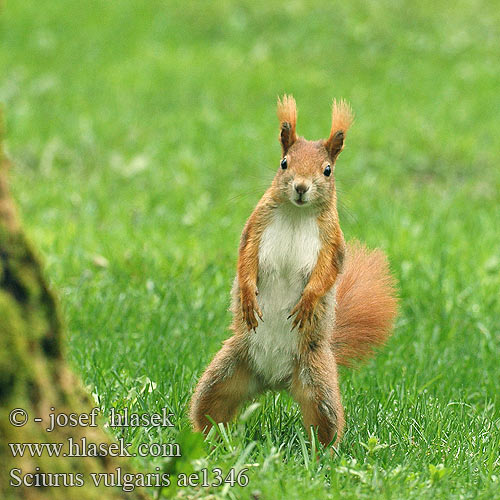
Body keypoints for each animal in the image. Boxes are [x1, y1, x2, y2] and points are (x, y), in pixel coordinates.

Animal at [189, 95, 396, 448]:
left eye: (327, 170)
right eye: (284, 163)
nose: (300, 187)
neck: (297, 213)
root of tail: (274, 380)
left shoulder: (332, 243)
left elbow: (327, 274)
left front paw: (309, 300)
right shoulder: (254, 229)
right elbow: (245, 261)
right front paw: (248, 297)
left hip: (318, 383)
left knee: (326, 425)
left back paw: (322, 454)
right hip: (227, 371)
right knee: (209, 409)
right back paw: (207, 441)